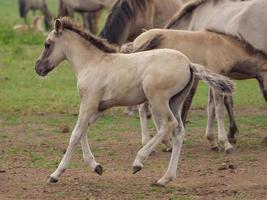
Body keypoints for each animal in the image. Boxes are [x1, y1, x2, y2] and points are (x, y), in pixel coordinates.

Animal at [35, 18, 234, 187]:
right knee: (179, 132)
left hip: (158, 99)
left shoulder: (88, 103)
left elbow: (76, 134)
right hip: (175, 102)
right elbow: (84, 131)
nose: (38, 68)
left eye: (47, 44)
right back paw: (165, 179)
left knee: (168, 125)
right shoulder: (99, 107)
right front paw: (96, 166)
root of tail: (189, 64)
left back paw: (139, 162)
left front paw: (55, 174)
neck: (92, 63)